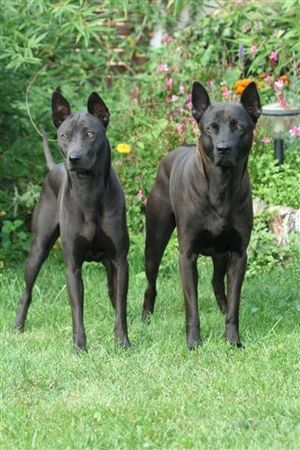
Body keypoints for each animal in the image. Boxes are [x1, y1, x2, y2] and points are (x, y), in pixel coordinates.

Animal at [14, 92, 130, 352]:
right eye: (65, 136)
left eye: (90, 133)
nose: (73, 158)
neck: (88, 191)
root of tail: (53, 167)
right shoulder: (72, 267)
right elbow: (77, 310)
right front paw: (79, 347)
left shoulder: (120, 261)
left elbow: (121, 307)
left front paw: (123, 342)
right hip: (38, 249)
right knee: (26, 291)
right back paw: (17, 327)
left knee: (113, 296)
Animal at [142, 80, 262, 348]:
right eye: (210, 128)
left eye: (240, 127)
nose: (223, 148)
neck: (220, 187)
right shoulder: (187, 256)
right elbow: (192, 307)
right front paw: (194, 342)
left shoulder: (239, 254)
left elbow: (234, 304)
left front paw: (233, 340)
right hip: (154, 242)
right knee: (151, 283)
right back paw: (145, 317)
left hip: (221, 253)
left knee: (217, 282)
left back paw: (222, 308)